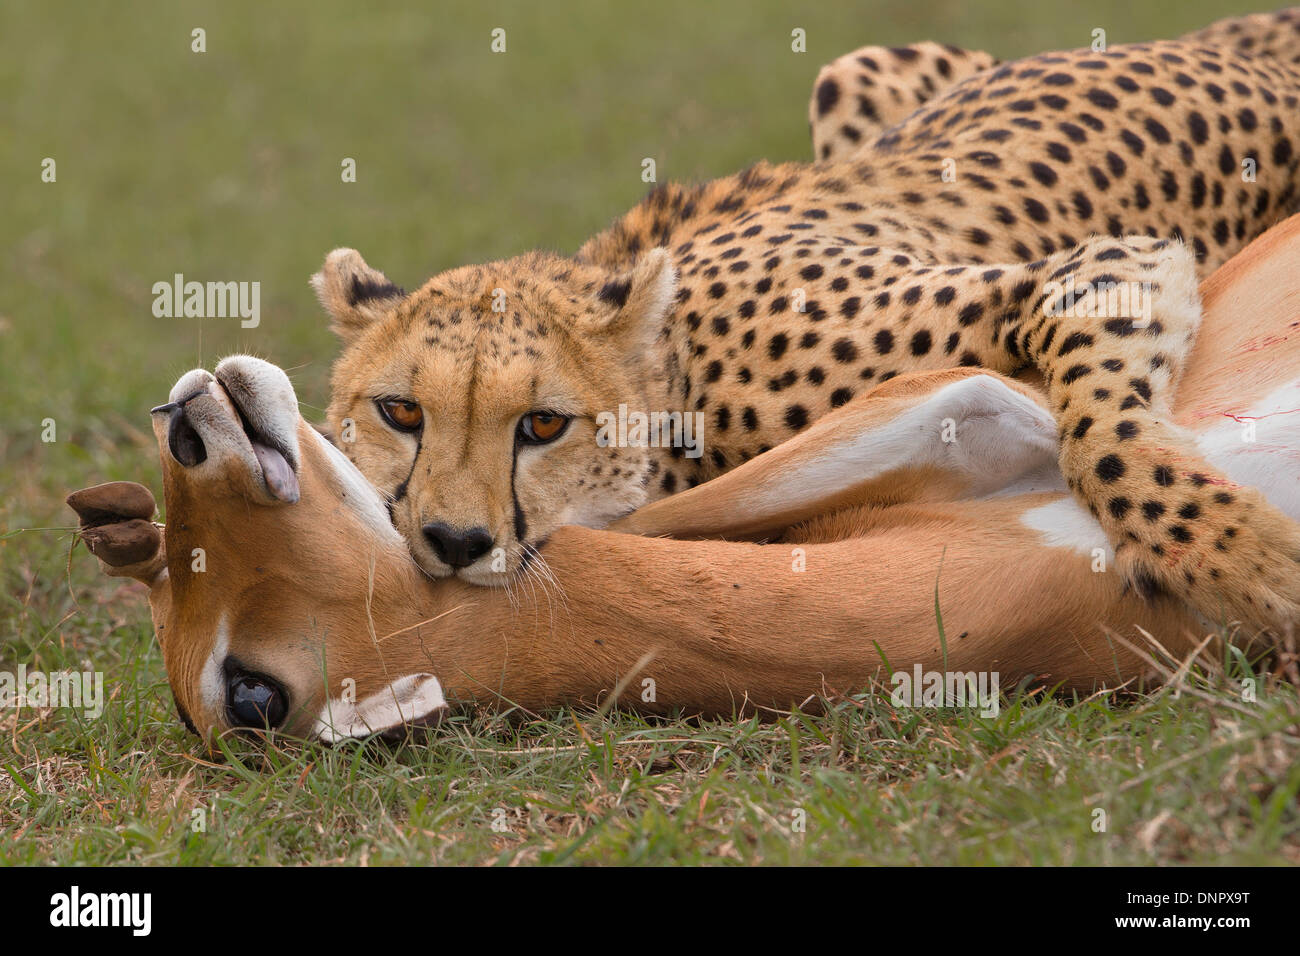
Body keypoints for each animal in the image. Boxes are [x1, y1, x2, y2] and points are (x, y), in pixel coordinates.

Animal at [314, 7, 1300, 639]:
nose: (453, 542)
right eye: (401, 413)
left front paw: (1246, 559)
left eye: (543, 425)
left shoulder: (1096, 266)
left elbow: (1104, 443)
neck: (679, 389)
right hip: (855, 73)